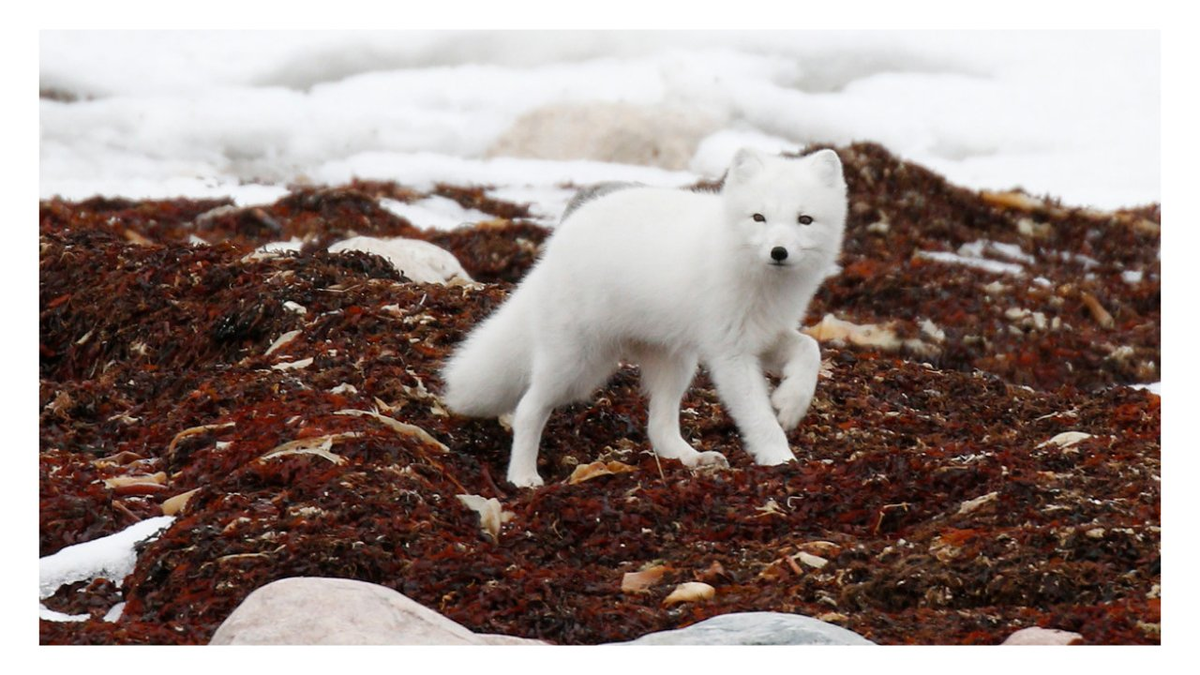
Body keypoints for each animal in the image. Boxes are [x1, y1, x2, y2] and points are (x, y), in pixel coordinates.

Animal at [439, 148, 844, 482]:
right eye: (758, 217)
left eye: (805, 220)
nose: (779, 252)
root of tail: (556, 245)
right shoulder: (729, 351)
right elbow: (757, 415)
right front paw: (780, 458)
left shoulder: (765, 333)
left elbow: (809, 349)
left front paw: (791, 405)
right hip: (576, 364)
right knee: (528, 408)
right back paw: (523, 477)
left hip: (675, 362)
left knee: (659, 428)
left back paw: (691, 458)